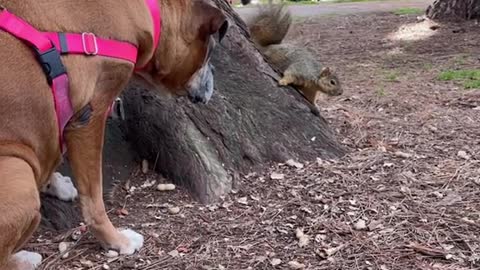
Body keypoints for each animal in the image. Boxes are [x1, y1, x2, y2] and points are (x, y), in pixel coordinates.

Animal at [0, 0, 229, 268]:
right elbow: (94, 199)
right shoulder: (91, 115)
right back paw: (25, 258)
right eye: (210, 53)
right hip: (19, 179)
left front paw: (54, 183)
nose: (214, 74)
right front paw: (117, 241)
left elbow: (52, 150)